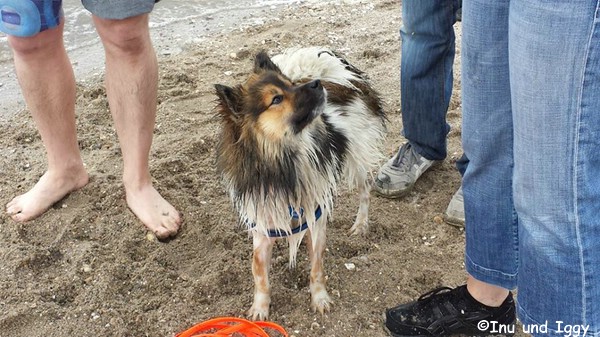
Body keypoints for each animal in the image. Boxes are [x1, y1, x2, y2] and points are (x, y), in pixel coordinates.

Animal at [213, 46, 386, 318]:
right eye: (276, 99)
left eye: (290, 84)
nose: (315, 84)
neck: (285, 162)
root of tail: (338, 76)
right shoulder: (262, 223)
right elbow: (259, 273)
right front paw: (260, 308)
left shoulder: (314, 218)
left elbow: (316, 266)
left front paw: (320, 298)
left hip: (358, 158)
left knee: (365, 192)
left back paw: (360, 224)